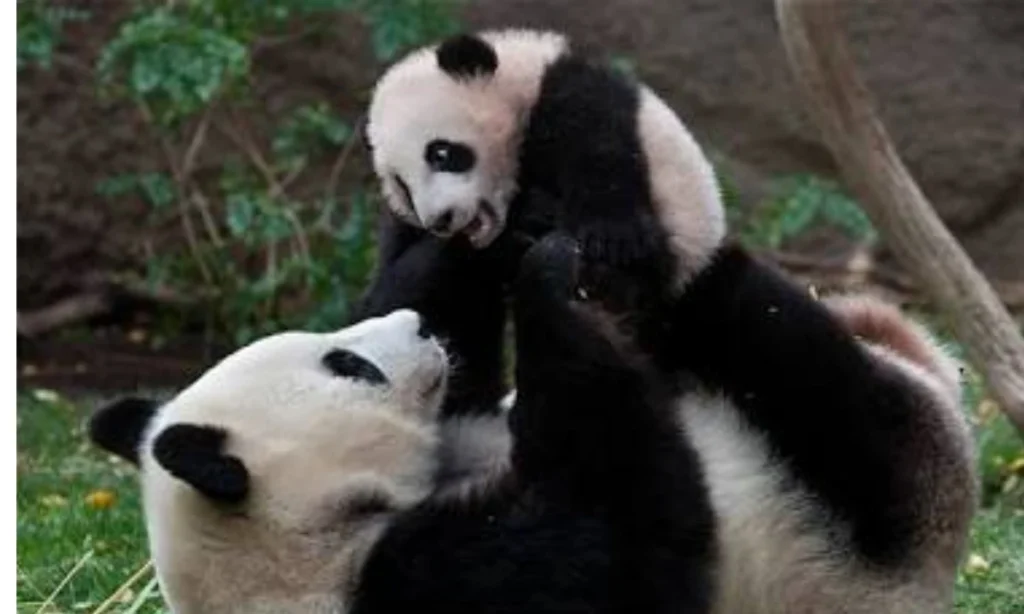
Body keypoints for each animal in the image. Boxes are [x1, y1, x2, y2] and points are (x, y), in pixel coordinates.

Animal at [362, 29, 977, 613]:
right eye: (402, 184)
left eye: (444, 153)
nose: (444, 218)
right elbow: (410, 315)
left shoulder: (580, 103)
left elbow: (601, 156)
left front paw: (599, 241)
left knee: (790, 357)